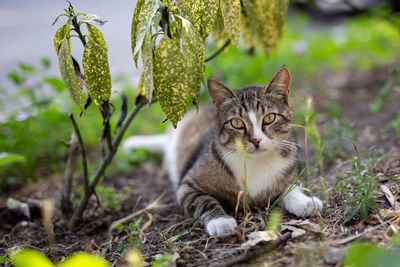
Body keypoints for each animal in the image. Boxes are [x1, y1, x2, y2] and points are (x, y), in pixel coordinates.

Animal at [124, 66, 322, 237]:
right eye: (237, 123)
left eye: (270, 118)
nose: (256, 140)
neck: (255, 162)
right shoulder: (187, 184)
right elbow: (204, 201)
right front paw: (220, 221)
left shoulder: (286, 173)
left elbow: (291, 188)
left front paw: (305, 201)